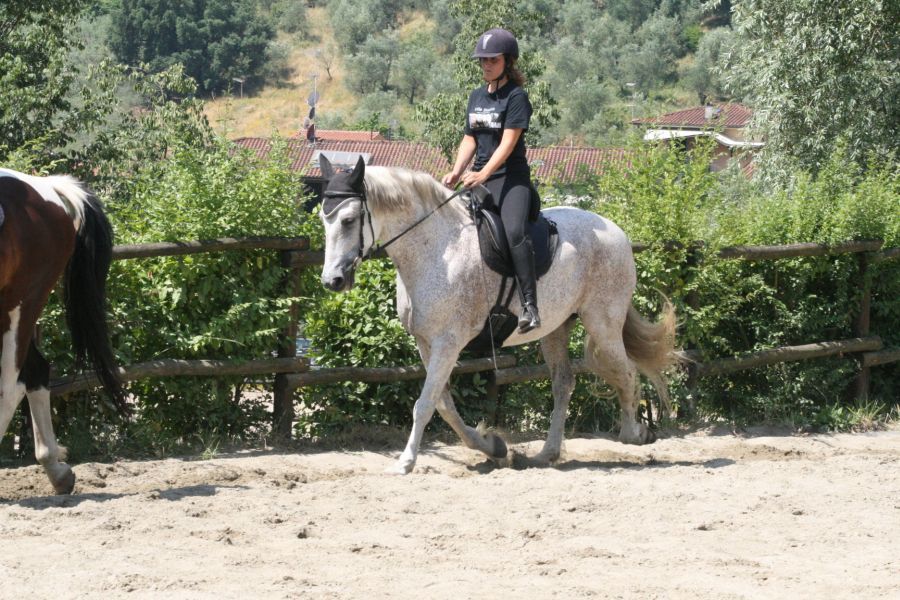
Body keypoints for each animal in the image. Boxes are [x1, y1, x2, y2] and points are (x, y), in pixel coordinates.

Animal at [318, 157, 676, 476]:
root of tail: (618, 232)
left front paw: (405, 462)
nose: (332, 281)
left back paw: (635, 434)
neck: (436, 248)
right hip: (556, 329)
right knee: (564, 383)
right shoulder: (426, 342)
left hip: (602, 323)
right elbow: (444, 405)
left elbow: (425, 403)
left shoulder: (448, 342)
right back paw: (546, 454)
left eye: (348, 220)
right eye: (324, 220)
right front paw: (493, 447)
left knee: (626, 371)